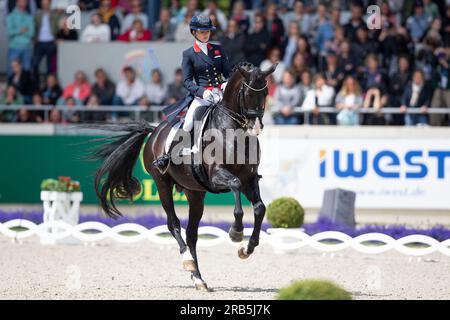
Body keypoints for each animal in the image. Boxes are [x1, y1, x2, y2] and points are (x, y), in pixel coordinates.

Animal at [92, 62, 278, 290]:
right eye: (249, 93)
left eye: (266, 92)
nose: (256, 128)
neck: (232, 132)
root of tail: (155, 131)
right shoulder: (218, 175)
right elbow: (234, 188)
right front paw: (236, 232)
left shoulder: (249, 179)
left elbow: (260, 208)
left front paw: (247, 248)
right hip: (162, 183)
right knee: (173, 224)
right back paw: (188, 262)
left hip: (195, 192)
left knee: (192, 233)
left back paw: (198, 278)